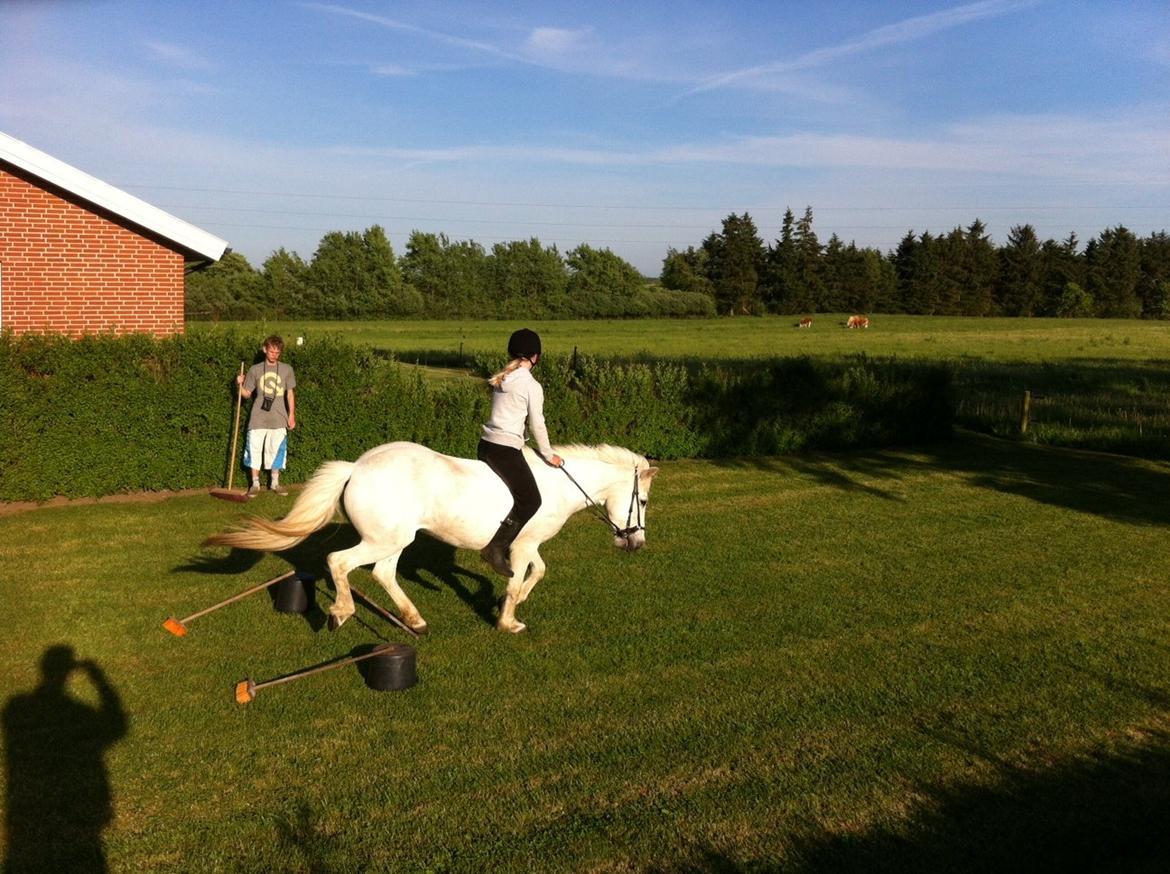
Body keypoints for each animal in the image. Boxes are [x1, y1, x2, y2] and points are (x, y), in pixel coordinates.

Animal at [203, 439, 659, 631]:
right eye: (643, 501)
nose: (635, 543)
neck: (559, 483)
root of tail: (356, 467)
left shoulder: (527, 545)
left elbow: (536, 573)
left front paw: (509, 603)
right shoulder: (524, 543)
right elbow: (520, 578)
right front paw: (508, 620)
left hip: (396, 540)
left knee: (383, 573)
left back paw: (415, 620)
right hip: (385, 539)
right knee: (340, 563)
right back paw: (341, 612)